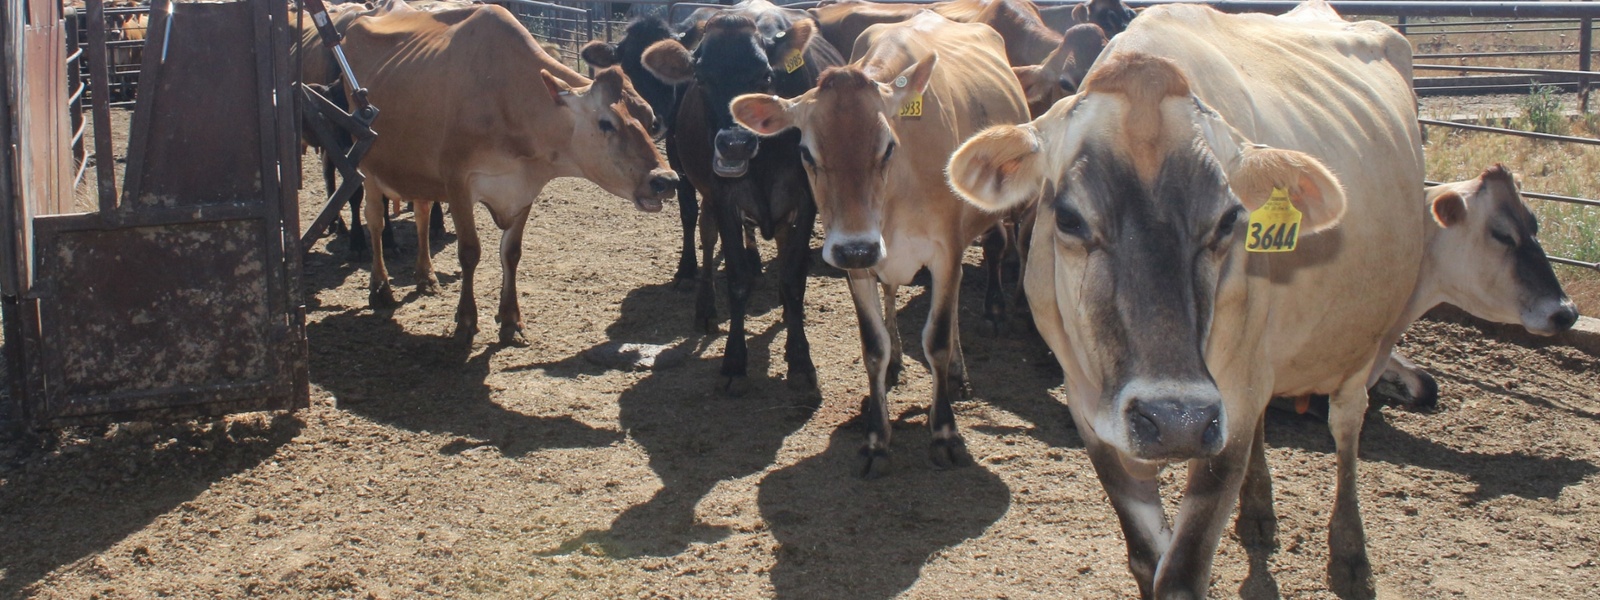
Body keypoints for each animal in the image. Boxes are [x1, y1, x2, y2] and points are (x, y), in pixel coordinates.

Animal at [341, 2, 677, 345]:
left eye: (649, 119)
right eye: (606, 122)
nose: (665, 180)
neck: (507, 99)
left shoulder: (524, 186)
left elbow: (511, 253)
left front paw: (510, 319)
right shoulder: (457, 182)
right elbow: (469, 252)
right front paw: (466, 320)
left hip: (417, 172)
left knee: (421, 213)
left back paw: (426, 276)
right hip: (366, 161)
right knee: (375, 219)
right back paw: (380, 287)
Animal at [640, 0, 846, 393]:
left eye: (765, 77)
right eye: (700, 78)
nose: (735, 144)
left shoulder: (807, 199)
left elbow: (794, 277)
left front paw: (800, 359)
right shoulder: (724, 197)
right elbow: (736, 277)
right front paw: (734, 361)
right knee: (703, 234)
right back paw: (702, 303)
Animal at [731, 11, 1031, 475]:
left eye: (888, 146)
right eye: (806, 152)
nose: (858, 247)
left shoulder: (946, 253)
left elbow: (938, 339)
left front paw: (945, 433)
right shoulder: (855, 263)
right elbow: (873, 346)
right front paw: (876, 436)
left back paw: (959, 372)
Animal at [948, 1, 1425, 596]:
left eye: (1228, 219)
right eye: (1069, 217)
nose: (1174, 420)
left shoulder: (1229, 406)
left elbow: (1181, 571)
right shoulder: (1091, 407)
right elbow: (1146, 558)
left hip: (1364, 341)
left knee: (1347, 424)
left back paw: (1350, 551)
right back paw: (1258, 511)